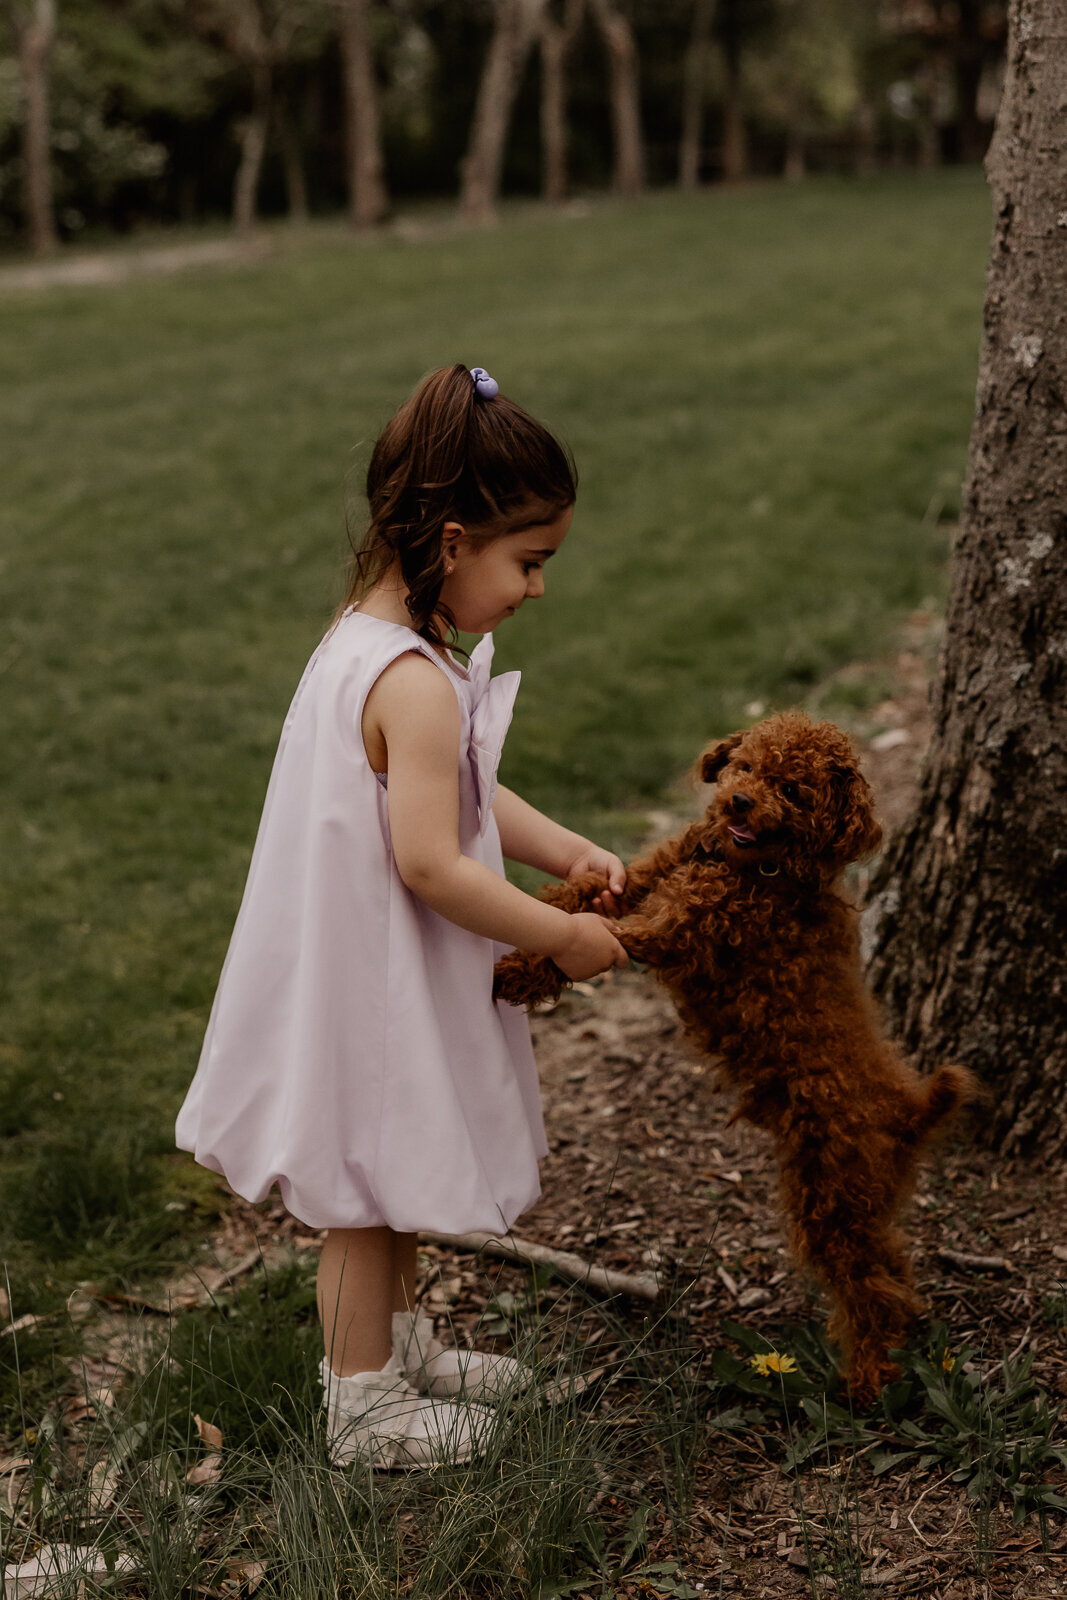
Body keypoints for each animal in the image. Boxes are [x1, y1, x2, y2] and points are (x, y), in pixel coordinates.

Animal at [495, 713, 979, 1401]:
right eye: (746, 765)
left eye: (794, 790)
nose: (741, 802)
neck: (753, 867)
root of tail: (911, 1113)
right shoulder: (643, 879)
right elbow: (579, 893)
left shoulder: (668, 933)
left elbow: (586, 942)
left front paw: (516, 971)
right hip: (862, 1203)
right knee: (895, 1268)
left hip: (829, 1199)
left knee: (868, 1292)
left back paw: (867, 1382)